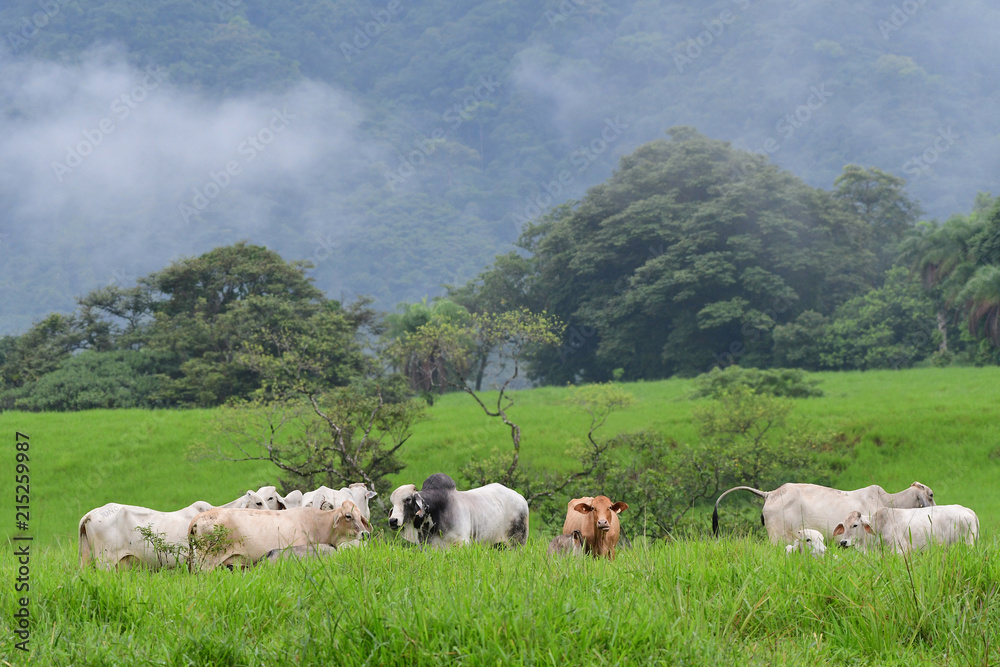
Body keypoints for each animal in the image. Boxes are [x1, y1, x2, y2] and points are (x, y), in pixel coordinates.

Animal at [388, 474, 532, 548]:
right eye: (393, 502)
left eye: (407, 499)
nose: (393, 521)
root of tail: (521, 498)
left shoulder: (462, 543)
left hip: (518, 543)